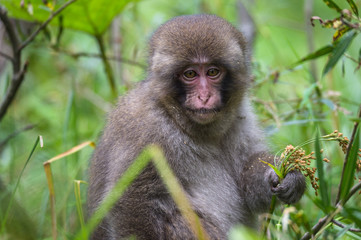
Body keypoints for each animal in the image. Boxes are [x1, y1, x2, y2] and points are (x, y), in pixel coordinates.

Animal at [87, 14, 304, 239]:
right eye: (190, 74)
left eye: (213, 72)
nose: (204, 96)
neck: (179, 121)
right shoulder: (144, 131)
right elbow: (131, 202)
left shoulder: (241, 117)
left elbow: (248, 176)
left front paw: (285, 174)